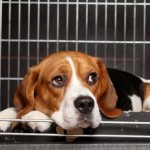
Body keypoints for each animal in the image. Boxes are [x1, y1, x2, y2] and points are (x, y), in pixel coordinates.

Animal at [0, 51, 149, 132]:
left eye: (92, 77)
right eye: (58, 80)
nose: (86, 104)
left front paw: (37, 115)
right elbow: (18, 109)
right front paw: (5, 115)